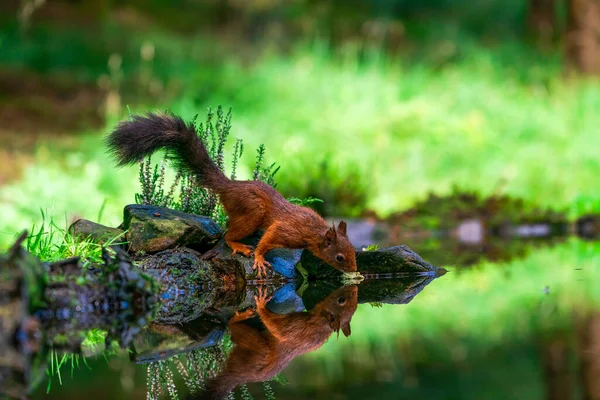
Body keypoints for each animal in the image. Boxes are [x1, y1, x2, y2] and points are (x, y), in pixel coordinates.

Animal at [107, 111, 356, 276]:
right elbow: (268, 239)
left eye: (354, 250)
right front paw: (259, 258)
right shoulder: (287, 231)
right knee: (227, 233)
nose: (355, 270)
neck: (314, 231)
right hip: (252, 212)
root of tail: (229, 186)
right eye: (339, 257)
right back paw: (238, 245)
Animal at [195, 286, 358, 398]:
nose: (355, 287)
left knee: (232, 328)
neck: (322, 323)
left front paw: (261, 305)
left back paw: (239, 318)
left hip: (256, 347)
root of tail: (237, 375)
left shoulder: (298, 327)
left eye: (341, 300)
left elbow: (278, 328)